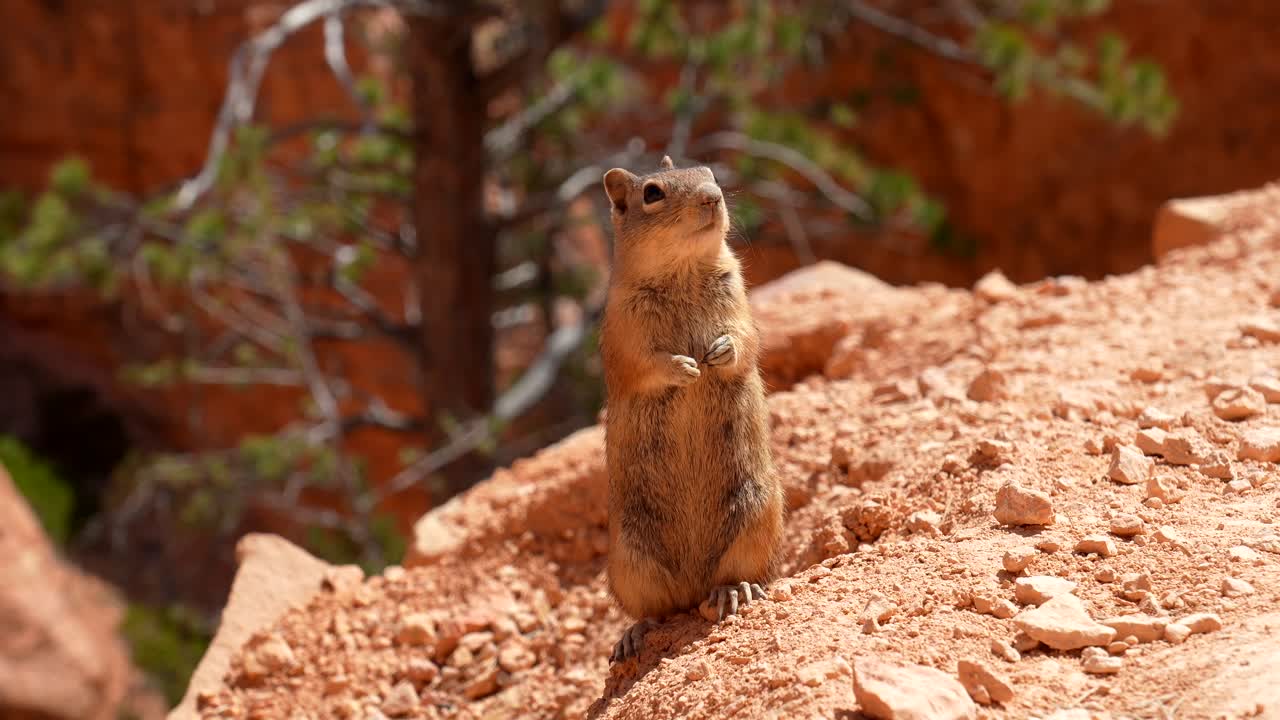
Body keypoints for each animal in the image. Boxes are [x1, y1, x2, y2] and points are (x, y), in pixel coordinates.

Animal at [599, 155, 784, 662]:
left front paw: (719, 352)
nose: (712, 197)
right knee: (658, 609)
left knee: (738, 574)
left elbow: (746, 339)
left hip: (757, 515)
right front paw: (683, 367)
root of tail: (693, 585)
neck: (681, 269)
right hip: (631, 558)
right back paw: (635, 634)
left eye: (710, 173)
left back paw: (733, 592)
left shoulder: (739, 297)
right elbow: (642, 366)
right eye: (652, 193)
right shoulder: (623, 330)